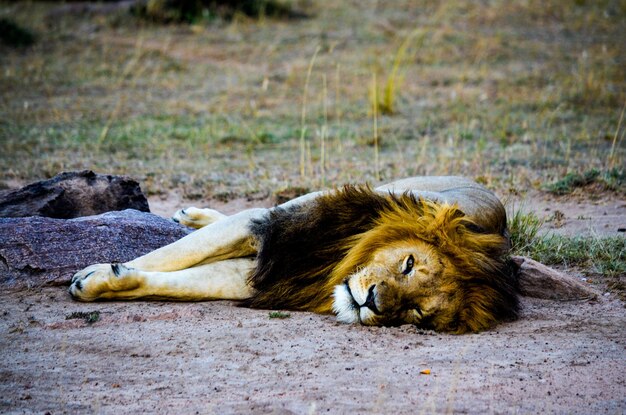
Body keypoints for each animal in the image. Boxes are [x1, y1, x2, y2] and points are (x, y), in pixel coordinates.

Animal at [68, 176, 516, 334]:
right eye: (408, 264)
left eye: (417, 313)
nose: (372, 302)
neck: (335, 260)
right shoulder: (268, 225)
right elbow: (170, 254)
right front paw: (89, 273)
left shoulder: (253, 276)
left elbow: (176, 282)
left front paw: (103, 280)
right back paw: (191, 214)